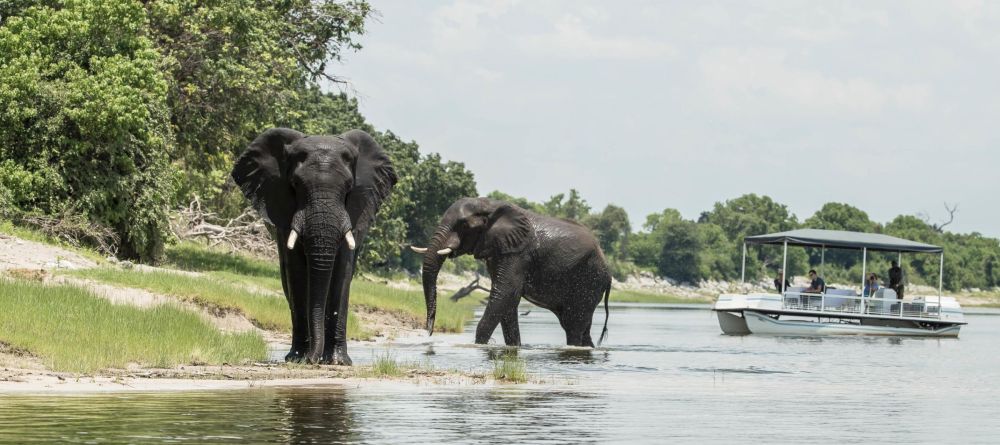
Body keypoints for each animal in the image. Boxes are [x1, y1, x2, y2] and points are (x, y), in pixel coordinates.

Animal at [230, 128, 394, 364]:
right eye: (296, 185)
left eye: (348, 187)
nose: (312, 360)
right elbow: (297, 271)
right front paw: (298, 358)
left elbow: (342, 271)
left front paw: (337, 362)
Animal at [412, 198, 612, 346]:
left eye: (463, 226)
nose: (429, 331)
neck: (490, 205)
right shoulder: (499, 251)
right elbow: (508, 301)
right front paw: (514, 348)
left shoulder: (518, 253)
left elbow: (506, 293)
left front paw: (479, 345)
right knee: (579, 326)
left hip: (590, 280)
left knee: (574, 326)